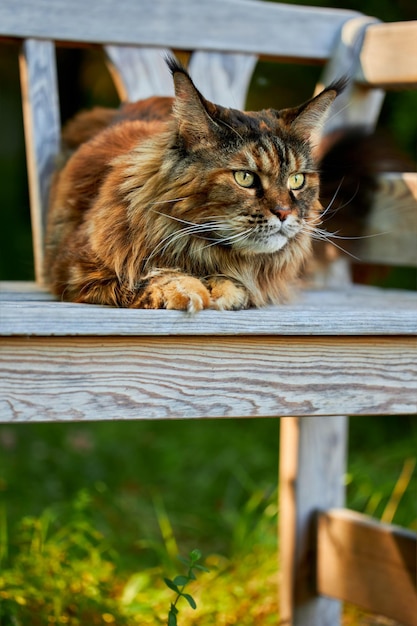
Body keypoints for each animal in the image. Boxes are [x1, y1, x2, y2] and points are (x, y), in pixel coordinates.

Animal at [44, 57, 344, 310]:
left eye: (297, 179)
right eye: (245, 177)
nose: (284, 213)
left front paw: (225, 291)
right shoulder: (78, 267)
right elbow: (147, 278)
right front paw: (186, 290)